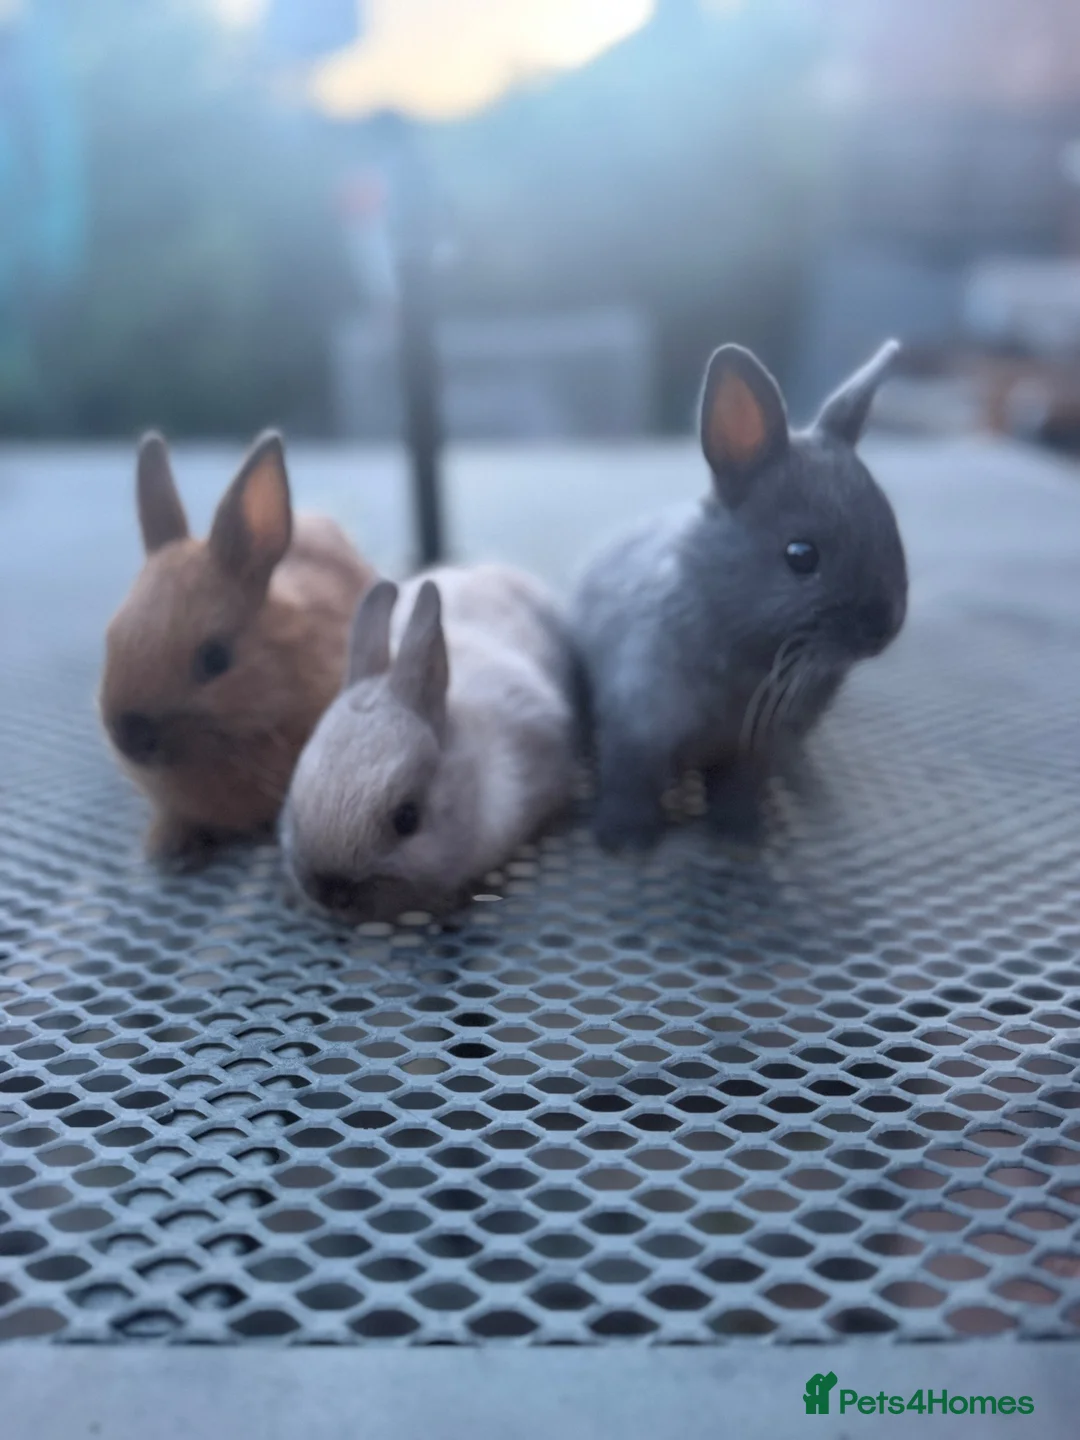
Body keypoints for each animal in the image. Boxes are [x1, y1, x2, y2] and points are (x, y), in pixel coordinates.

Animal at [571, 339, 908, 853]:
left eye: (890, 525)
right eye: (800, 555)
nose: (884, 628)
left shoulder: (756, 750)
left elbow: (741, 786)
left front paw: (741, 832)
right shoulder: (636, 725)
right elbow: (631, 779)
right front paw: (624, 839)